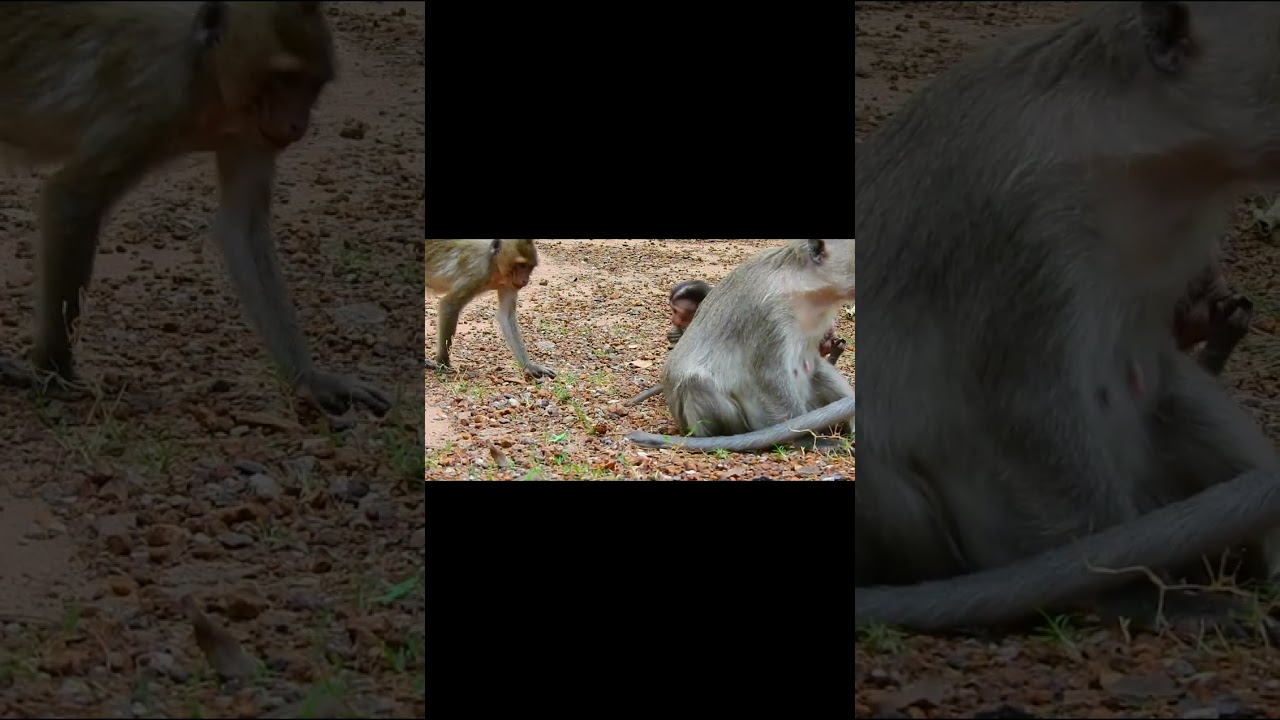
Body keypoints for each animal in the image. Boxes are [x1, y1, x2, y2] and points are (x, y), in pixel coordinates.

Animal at [0, 2, 391, 419]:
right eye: (286, 79)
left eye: (312, 84)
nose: (297, 124)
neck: (206, 78)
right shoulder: (154, 100)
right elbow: (70, 201)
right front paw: (55, 372)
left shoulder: (251, 133)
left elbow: (242, 229)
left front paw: (312, 379)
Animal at [424, 239, 556, 379]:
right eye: (521, 265)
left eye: (530, 267)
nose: (525, 280)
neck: (494, 264)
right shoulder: (477, 271)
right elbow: (449, 306)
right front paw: (443, 364)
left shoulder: (509, 283)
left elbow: (506, 315)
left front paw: (530, 366)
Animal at [624, 239, 855, 453]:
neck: (803, 287)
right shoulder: (767, 312)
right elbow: (769, 374)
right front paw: (806, 440)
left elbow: (812, 362)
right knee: (696, 382)